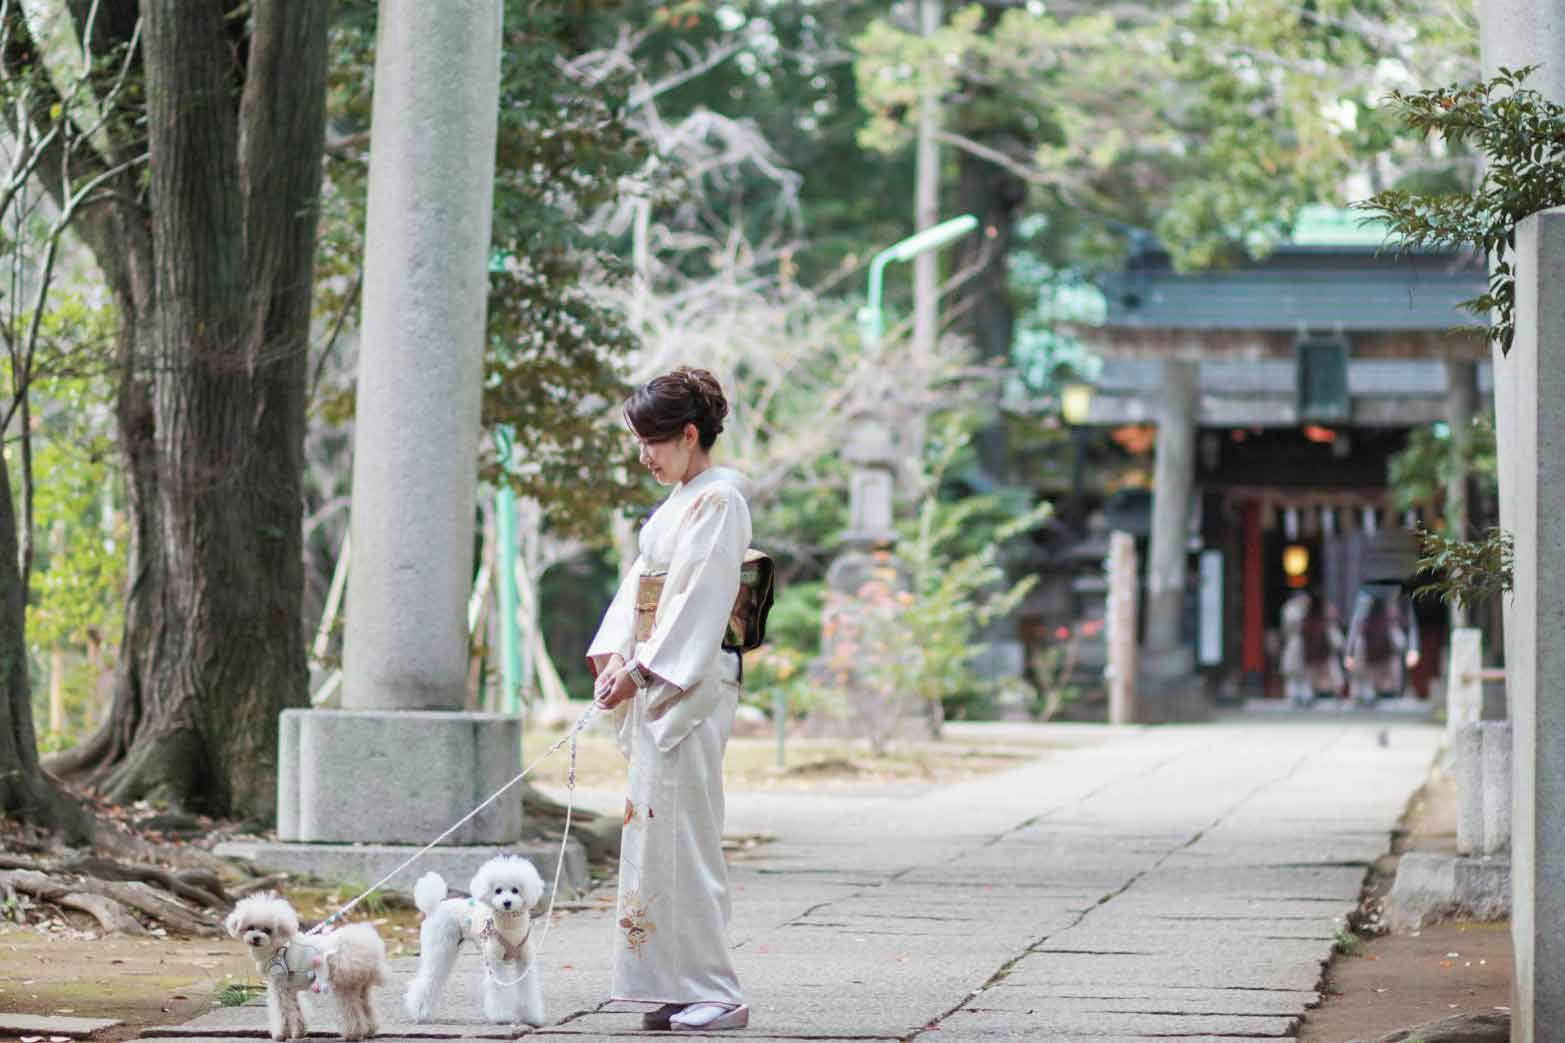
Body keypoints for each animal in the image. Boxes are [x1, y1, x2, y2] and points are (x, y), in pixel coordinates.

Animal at [228, 883, 394, 1039]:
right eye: (250, 927)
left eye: (267, 930)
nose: (256, 938)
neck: (277, 948)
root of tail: (368, 947)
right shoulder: (290, 989)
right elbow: (297, 1010)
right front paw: (299, 1032)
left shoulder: (279, 983)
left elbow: (282, 1011)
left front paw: (281, 1034)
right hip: (361, 986)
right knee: (367, 1006)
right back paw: (370, 1030)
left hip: (344, 983)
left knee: (351, 1010)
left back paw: (353, 1034)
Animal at [400, 851, 547, 1021]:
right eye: (498, 890)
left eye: (515, 890)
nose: (507, 903)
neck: (510, 926)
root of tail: (434, 906)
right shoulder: (494, 962)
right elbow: (498, 991)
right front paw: (502, 1016)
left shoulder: (525, 962)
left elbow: (528, 990)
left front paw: (531, 1016)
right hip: (439, 947)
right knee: (428, 978)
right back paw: (419, 1012)